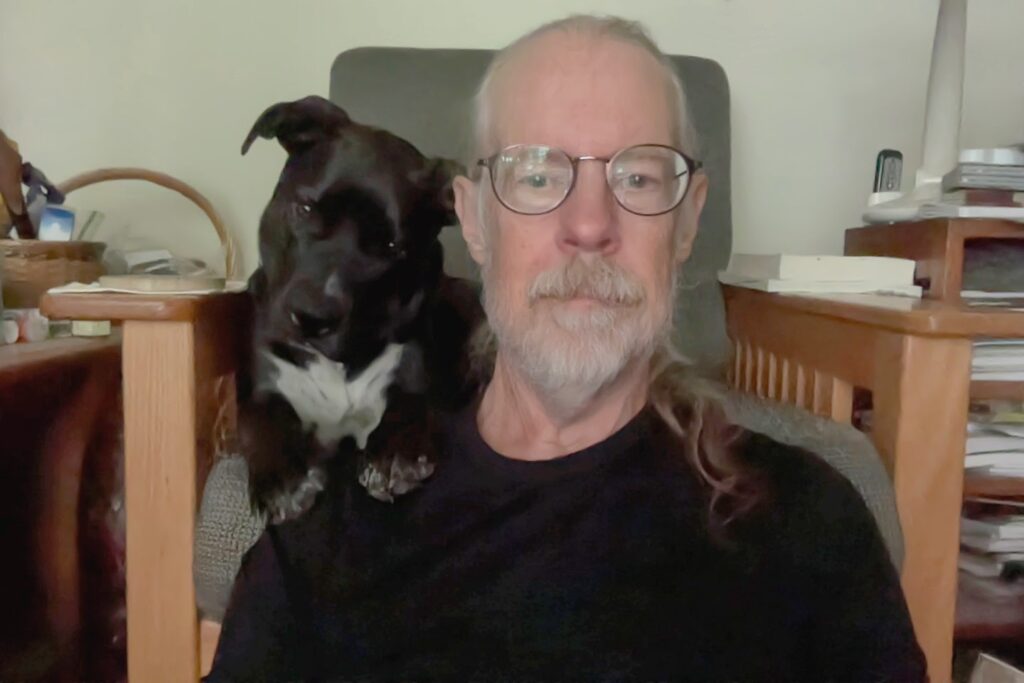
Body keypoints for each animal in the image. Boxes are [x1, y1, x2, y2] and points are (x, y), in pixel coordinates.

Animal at [239, 96, 482, 523]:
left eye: (391, 247)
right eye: (305, 208)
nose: (311, 316)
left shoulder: (410, 368)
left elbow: (413, 400)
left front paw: (396, 450)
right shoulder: (267, 381)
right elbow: (258, 419)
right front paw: (281, 477)